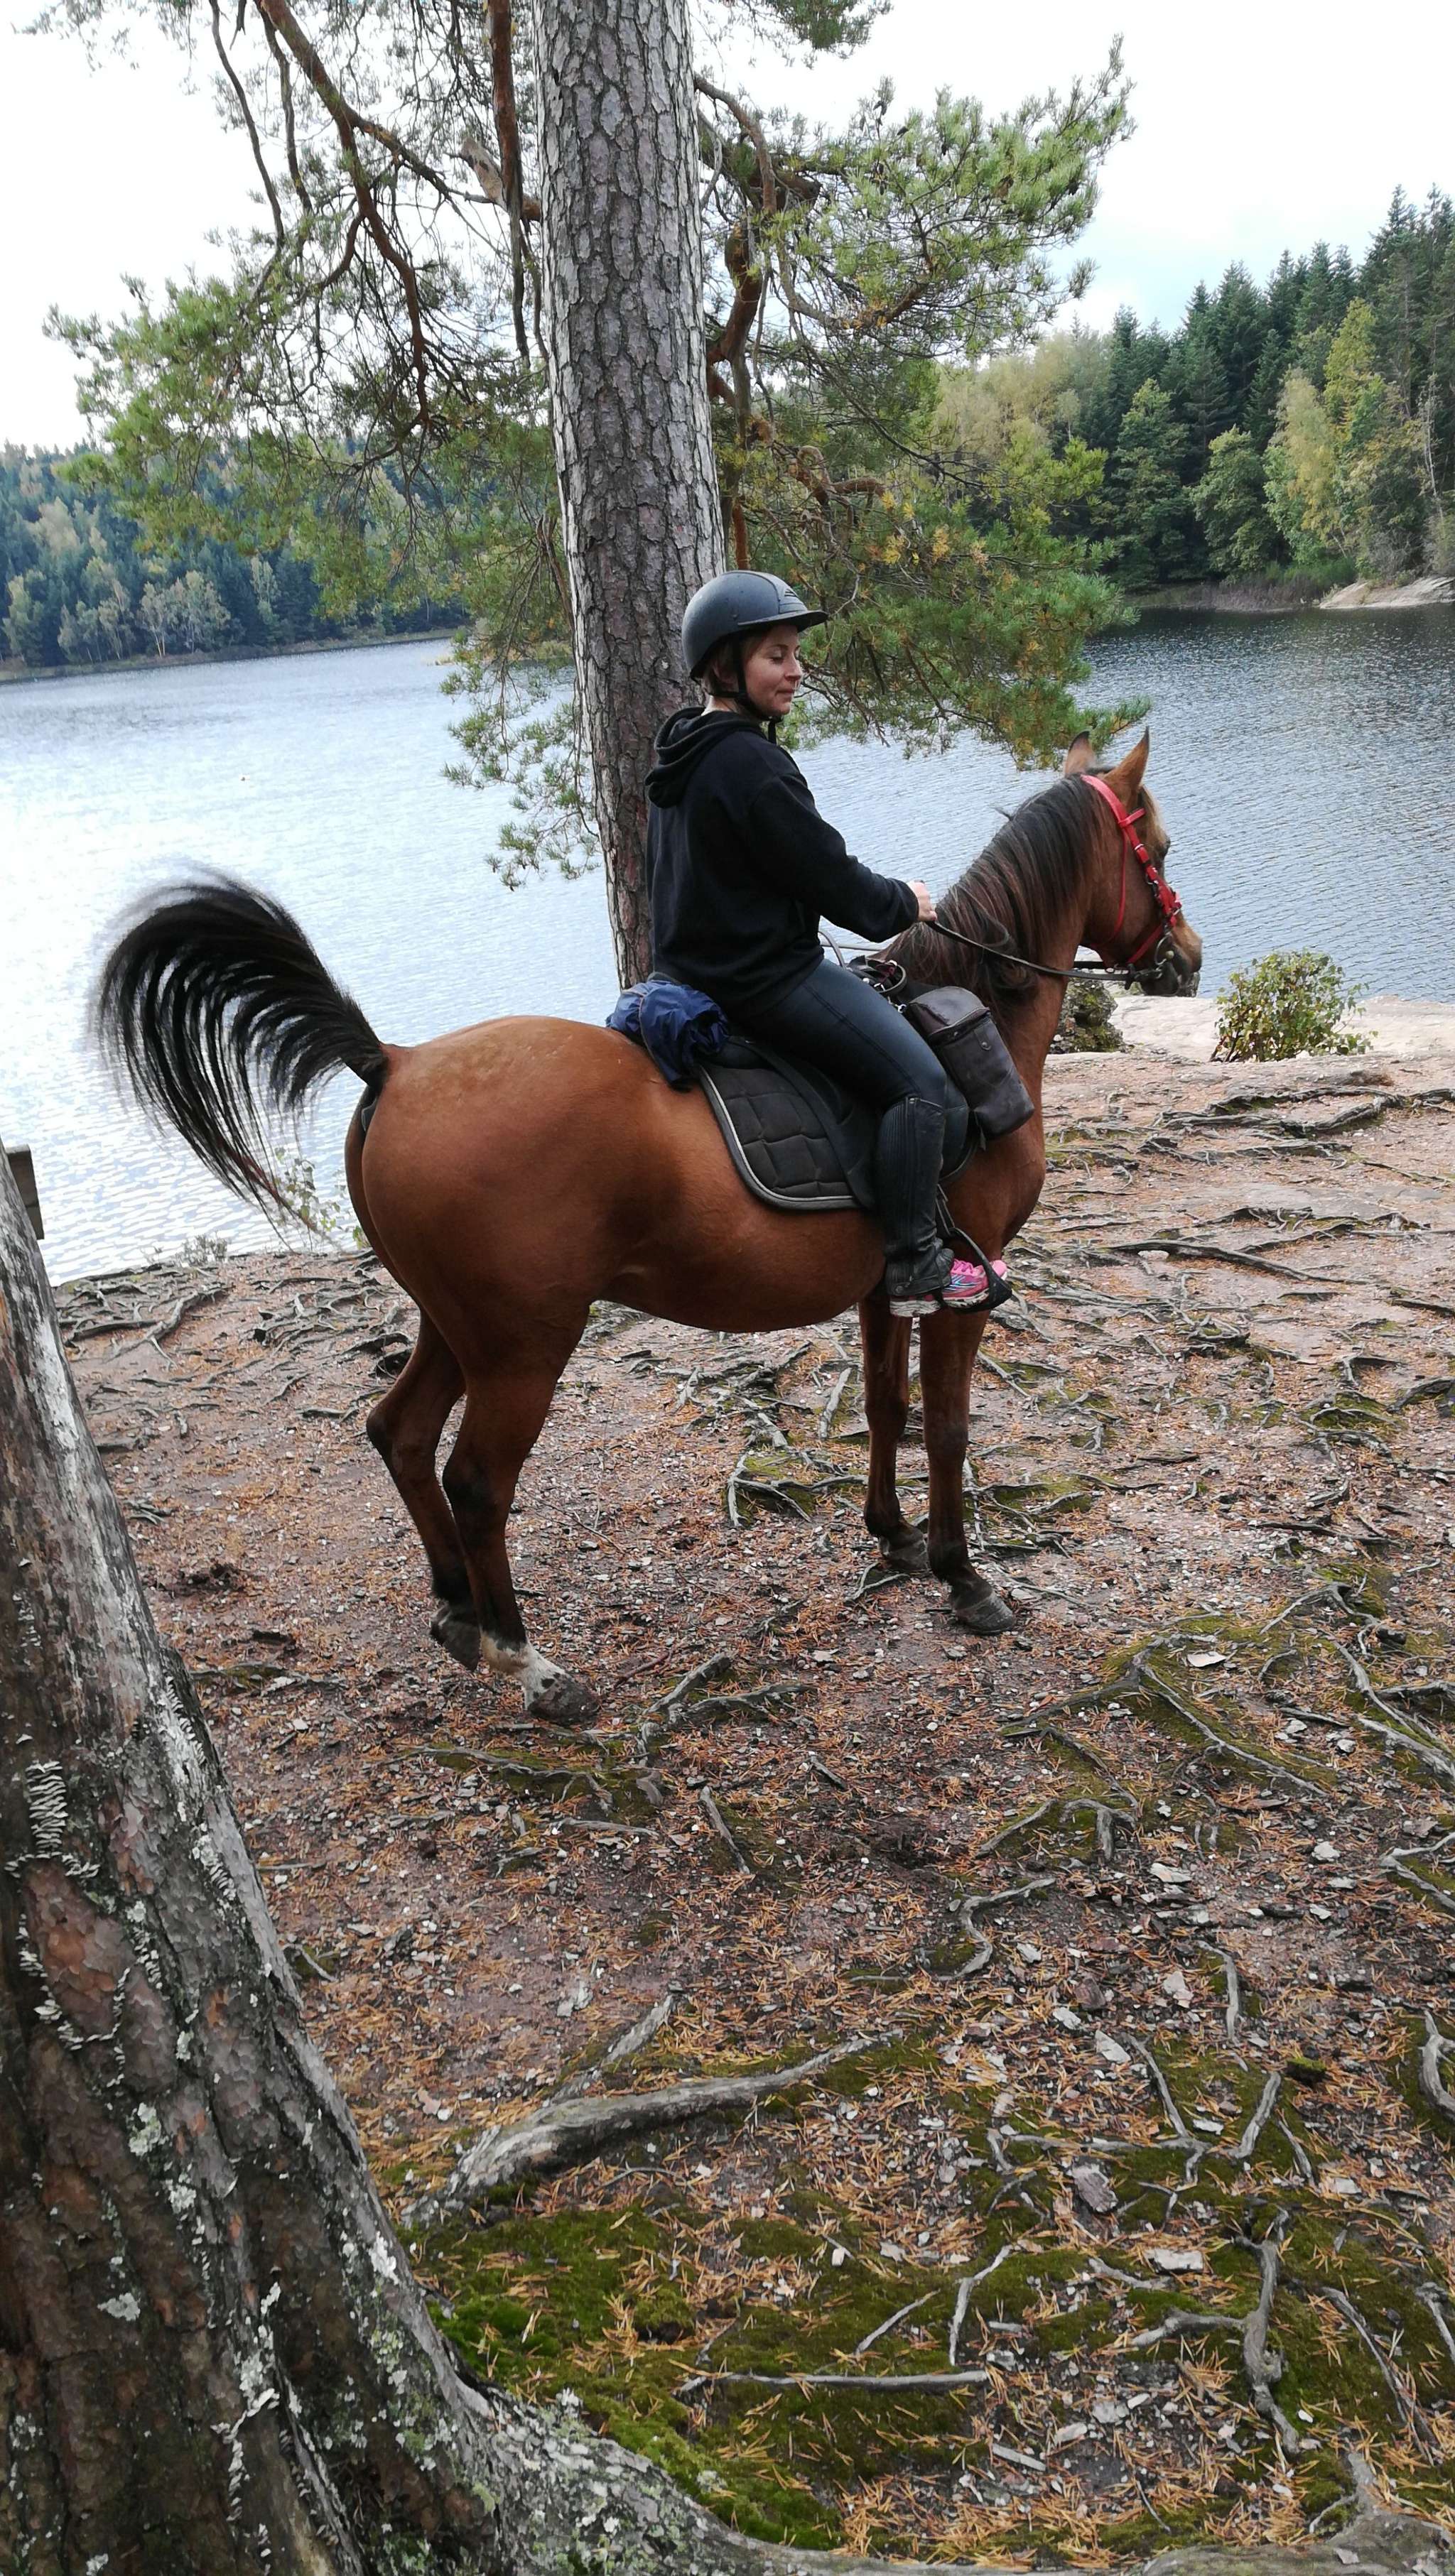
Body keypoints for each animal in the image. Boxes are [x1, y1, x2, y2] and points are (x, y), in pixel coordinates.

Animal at [95, 728, 1200, 1725]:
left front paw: (888, 1534)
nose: (1186, 959)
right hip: (524, 1345)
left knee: (399, 1435)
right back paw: (529, 1662)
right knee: (475, 1482)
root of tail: (394, 1062)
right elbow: (950, 1426)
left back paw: (459, 1614)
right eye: (1160, 846)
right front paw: (963, 1575)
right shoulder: (964, 1288)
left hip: (453, 1325)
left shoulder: (889, 1283)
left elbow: (887, 1409)